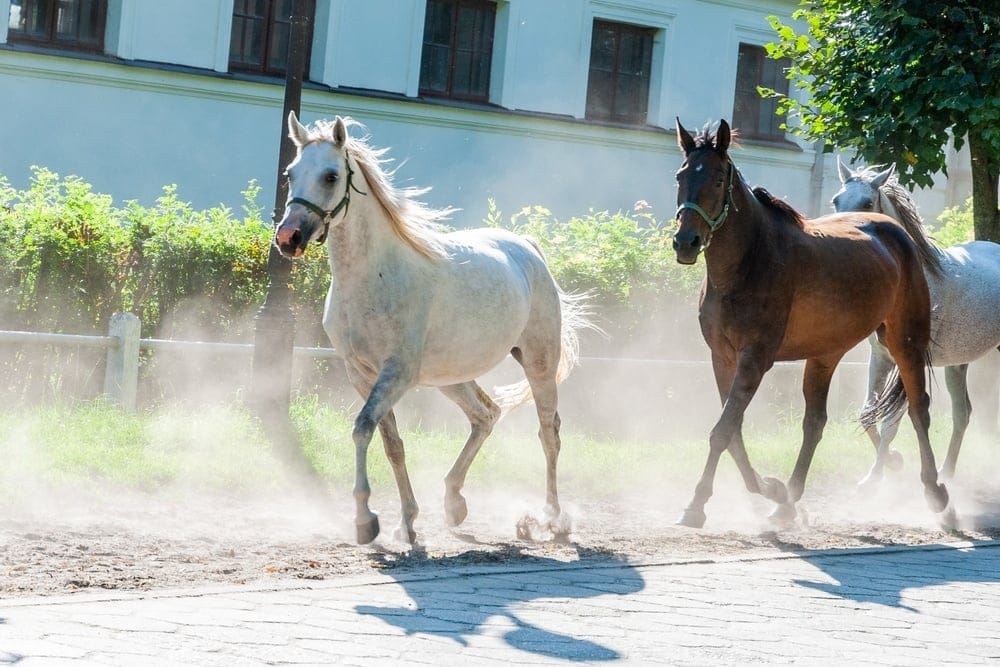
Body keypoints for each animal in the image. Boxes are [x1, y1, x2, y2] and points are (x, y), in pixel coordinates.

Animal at [274, 111, 589, 545]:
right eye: (290, 173)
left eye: (330, 176)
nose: (288, 238)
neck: (375, 276)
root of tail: (527, 247)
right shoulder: (361, 373)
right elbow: (391, 443)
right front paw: (405, 523)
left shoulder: (397, 372)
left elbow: (362, 429)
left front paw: (365, 520)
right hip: (450, 377)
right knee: (486, 415)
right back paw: (454, 504)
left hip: (539, 362)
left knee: (548, 434)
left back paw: (551, 520)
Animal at [670, 118, 950, 529]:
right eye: (682, 175)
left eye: (719, 179)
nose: (685, 242)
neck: (751, 261)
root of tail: (895, 231)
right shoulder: (722, 357)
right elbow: (733, 431)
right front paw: (770, 489)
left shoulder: (755, 359)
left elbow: (722, 430)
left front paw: (696, 504)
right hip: (824, 356)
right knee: (815, 423)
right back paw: (788, 501)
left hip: (904, 343)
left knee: (918, 409)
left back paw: (935, 492)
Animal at [833, 161, 1000, 481]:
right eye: (837, 200)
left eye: (867, 203)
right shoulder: (881, 357)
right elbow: (868, 413)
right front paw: (893, 462)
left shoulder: (909, 362)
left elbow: (892, 421)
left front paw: (874, 480)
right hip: (957, 365)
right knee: (962, 413)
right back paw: (946, 472)